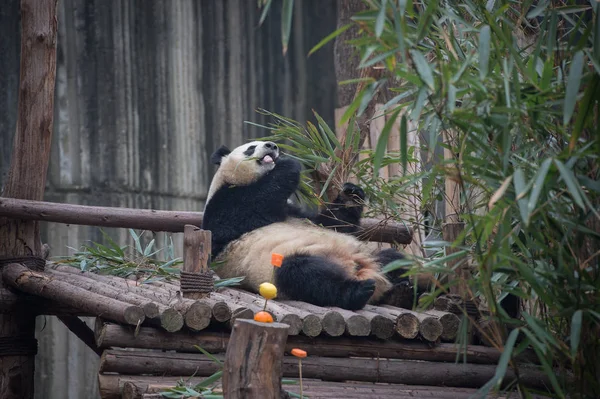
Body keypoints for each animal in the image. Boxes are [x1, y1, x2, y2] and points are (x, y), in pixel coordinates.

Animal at [200, 141, 412, 312]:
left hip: (369, 255)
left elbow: (332, 223)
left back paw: (403, 290)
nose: (272, 145)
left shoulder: (295, 211)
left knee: (395, 259)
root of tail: (358, 269)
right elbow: (250, 205)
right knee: (305, 275)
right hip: (276, 266)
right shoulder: (224, 204)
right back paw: (359, 291)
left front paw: (351, 194)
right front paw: (288, 164)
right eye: (250, 147)